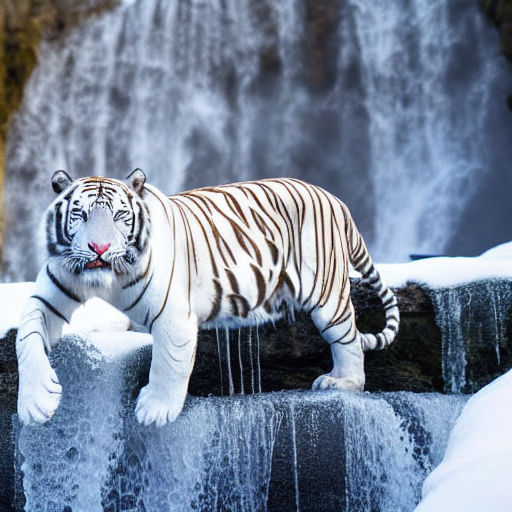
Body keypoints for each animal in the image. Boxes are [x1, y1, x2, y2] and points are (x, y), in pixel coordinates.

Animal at [16, 170, 400, 426]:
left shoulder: (172, 312)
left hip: (324, 290)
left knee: (348, 339)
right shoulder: (48, 295)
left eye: (120, 215)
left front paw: (156, 410)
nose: (99, 247)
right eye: (79, 214)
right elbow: (26, 337)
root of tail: (334, 198)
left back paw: (342, 381)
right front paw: (36, 402)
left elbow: (168, 361)